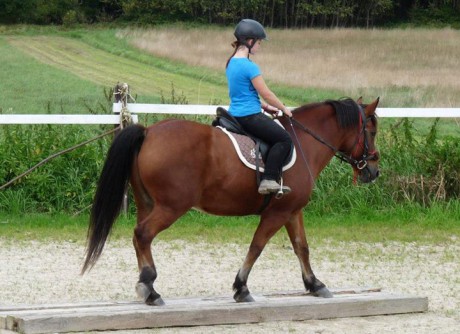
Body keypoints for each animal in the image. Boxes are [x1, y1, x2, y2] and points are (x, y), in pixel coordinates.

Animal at [82, 96, 380, 306]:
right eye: (372, 131)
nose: (374, 171)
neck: (304, 142)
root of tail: (149, 132)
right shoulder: (277, 213)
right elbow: (257, 246)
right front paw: (241, 287)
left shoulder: (292, 210)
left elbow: (301, 247)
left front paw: (315, 285)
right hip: (170, 207)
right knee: (142, 234)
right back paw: (150, 289)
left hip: (147, 203)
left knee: (139, 238)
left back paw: (147, 286)